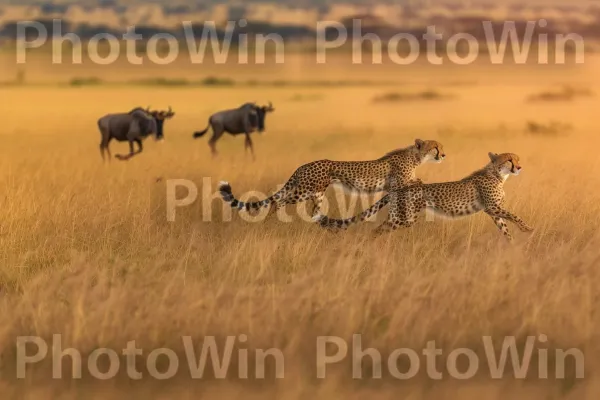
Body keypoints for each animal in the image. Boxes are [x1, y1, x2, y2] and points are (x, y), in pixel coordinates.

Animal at [219, 138, 446, 219]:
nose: (443, 155)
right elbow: (416, 182)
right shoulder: (398, 182)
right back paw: (273, 218)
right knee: (279, 200)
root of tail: (304, 165)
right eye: (435, 147)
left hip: (317, 194)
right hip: (305, 190)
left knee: (311, 210)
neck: (416, 157)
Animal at [314, 152, 536, 241]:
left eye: (517, 159)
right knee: (379, 229)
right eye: (509, 160)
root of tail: (399, 188)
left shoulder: (494, 212)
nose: (519, 167)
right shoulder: (492, 207)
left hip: (399, 216)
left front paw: (512, 245)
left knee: (379, 229)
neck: (499, 175)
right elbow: (514, 216)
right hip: (405, 218)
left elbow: (505, 228)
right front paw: (528, 229)